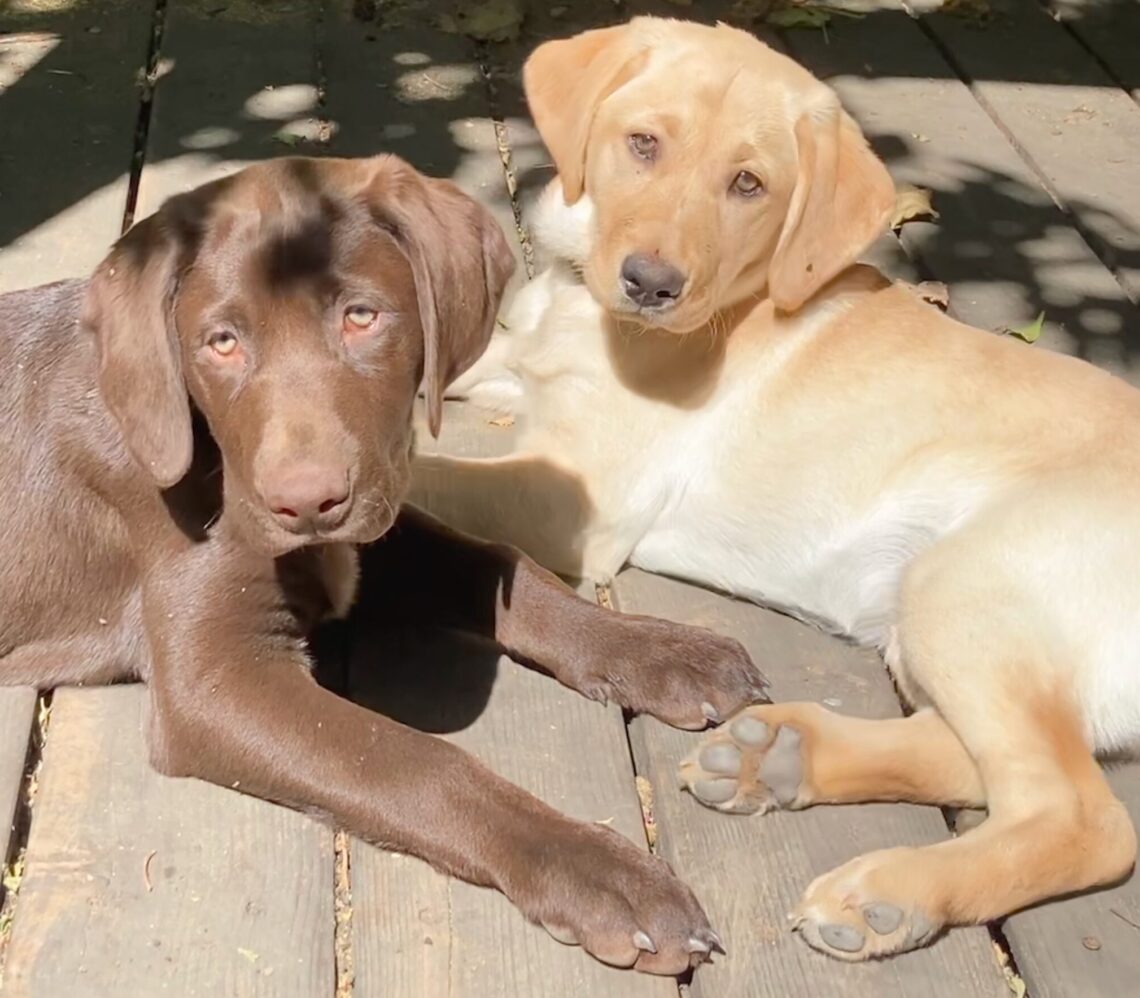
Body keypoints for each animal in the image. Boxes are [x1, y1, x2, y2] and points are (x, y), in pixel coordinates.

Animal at [412, 15, 1140, 962]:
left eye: (748, 184)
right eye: (642, 144)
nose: (650, 285)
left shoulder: (572, 499)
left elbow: (428, 475)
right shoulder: (512, 368)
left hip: (968, 582)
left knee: (1083, 814)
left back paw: (886, 894)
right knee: (987, 759)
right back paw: (777, 758)